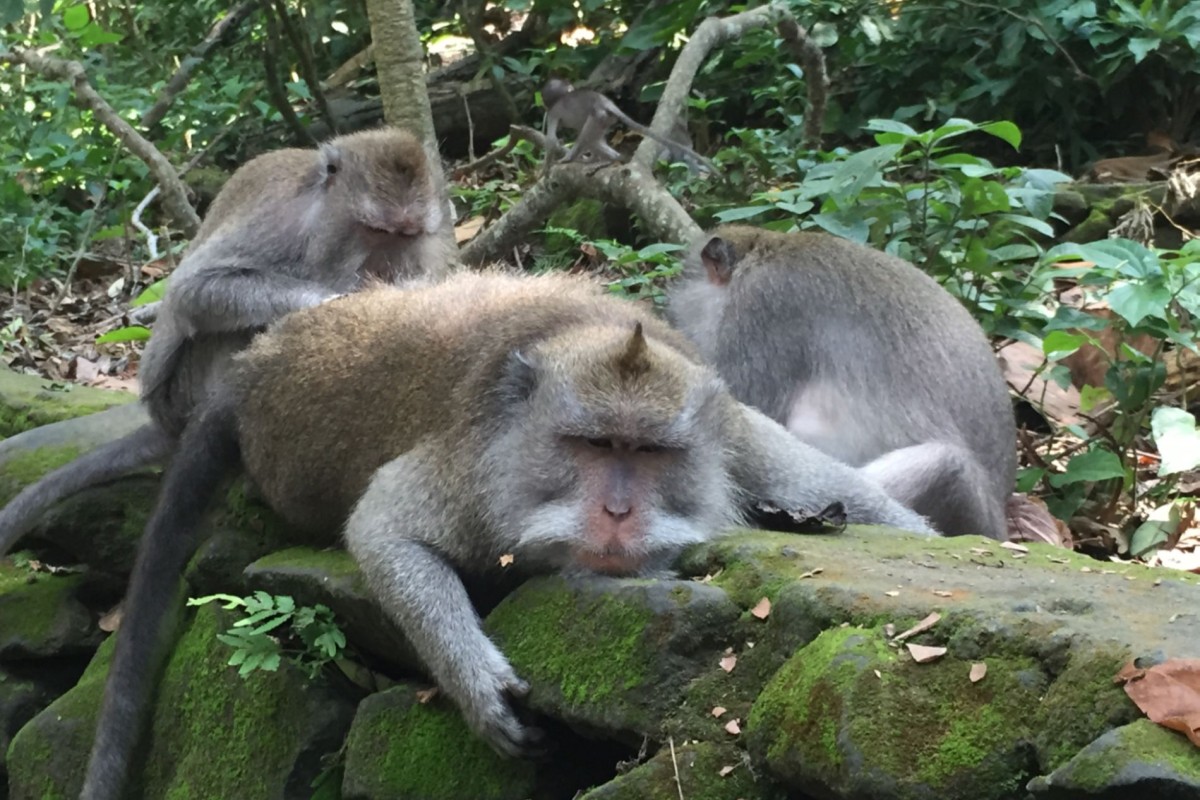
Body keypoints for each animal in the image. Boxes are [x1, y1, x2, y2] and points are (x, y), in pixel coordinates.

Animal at [0, 127, 453, 558]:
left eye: (406, 235)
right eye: (375, 231)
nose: (388, 269)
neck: (318, 220)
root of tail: (167, 423)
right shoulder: (278, 220)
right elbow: (193, 290)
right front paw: (332, 299)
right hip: (187, 390)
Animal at [81, 270, 935, 799]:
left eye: (649, 453)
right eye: (591, 445)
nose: (617, 513)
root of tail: (259, 365)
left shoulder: (736, 439)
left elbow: (865, 507)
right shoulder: (475, 476)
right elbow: (383, 526)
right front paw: (476, 680)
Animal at [541, 78, 716, 173]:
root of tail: (606, 103)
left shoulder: (552, 113)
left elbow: (551, 140)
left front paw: (545, 169)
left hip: (598, 117)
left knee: (587, 137)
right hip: (604, 119)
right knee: (593, 139)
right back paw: (607, 158)